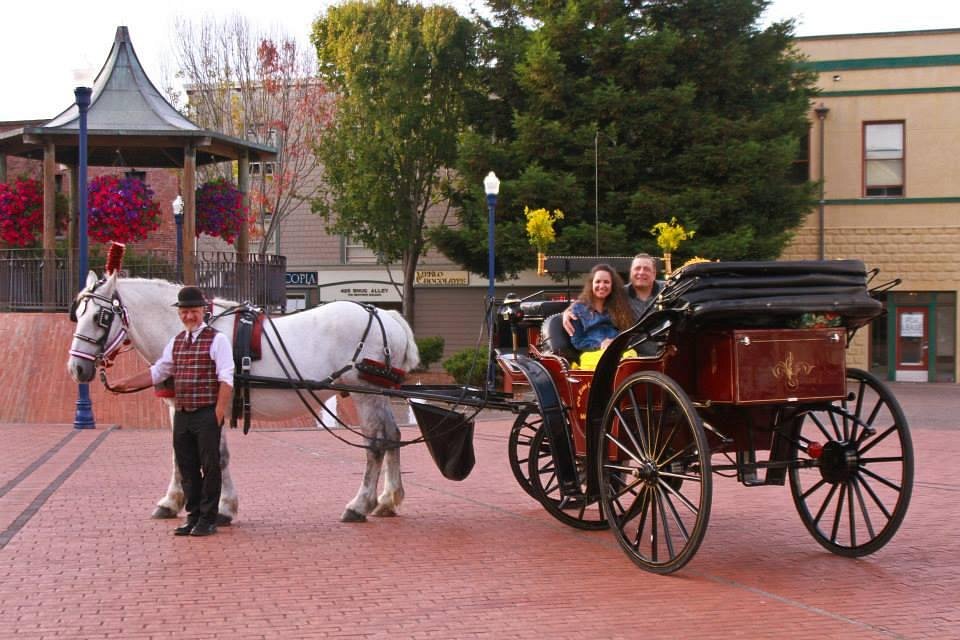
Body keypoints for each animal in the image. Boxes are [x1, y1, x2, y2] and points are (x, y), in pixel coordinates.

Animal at [63, 272, 416, 524]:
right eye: (77, 313)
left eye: (100, 317)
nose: (76, 368)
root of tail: (387, 316)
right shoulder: (180, 405)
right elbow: (180, 453)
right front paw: (173, 502)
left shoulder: (210, 405)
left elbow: (216, 456)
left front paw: (222, 508)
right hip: (379, 395)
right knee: (393, 436)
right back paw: (388, 500)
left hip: (366, 395)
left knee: (375, 444)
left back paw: (359, 505)